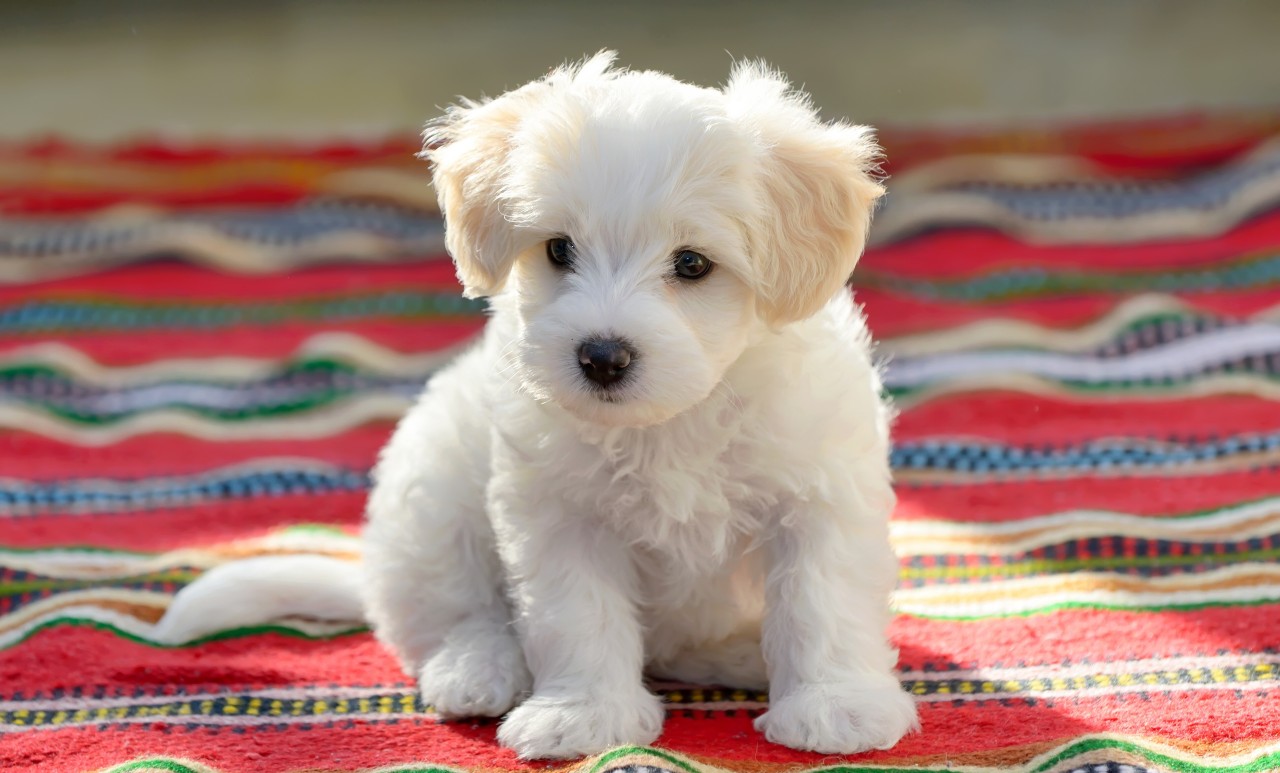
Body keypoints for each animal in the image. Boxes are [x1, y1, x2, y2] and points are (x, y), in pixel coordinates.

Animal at [157, 52, 921, 762]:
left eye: (693, 264)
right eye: (558, 249)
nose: (602, 355)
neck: (673, 420)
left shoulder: (819, 495)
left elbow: (821, 602)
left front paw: (835, 706)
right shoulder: (558, 513)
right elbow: (576, 615)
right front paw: (583, 716)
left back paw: (740, 655)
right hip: (432, 497)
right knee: (452, 612)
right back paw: (479, 668)